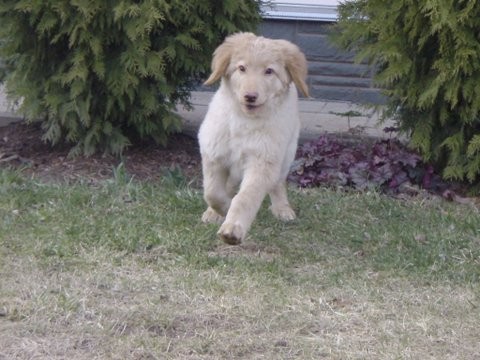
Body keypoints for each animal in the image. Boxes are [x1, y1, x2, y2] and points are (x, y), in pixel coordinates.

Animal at [198, 32, 308, 245]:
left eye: (269, 71)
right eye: (242, 68)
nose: (250, 96)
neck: (244, 121)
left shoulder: (262, 162)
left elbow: (245, 198)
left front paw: (233, 228)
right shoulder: (214, 154)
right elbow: (212, 192)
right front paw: (222, 208)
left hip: (286, 154)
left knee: (277, 183)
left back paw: (282, 208)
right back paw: (212, 212)